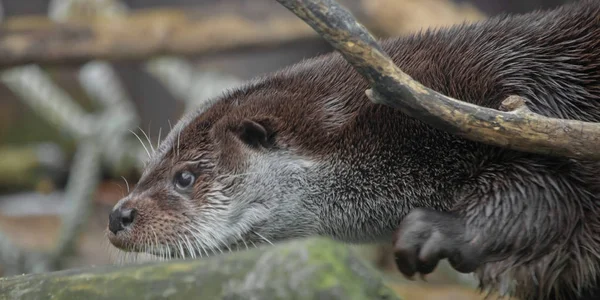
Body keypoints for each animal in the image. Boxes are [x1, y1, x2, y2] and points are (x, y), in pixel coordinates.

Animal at [106, 1, 600, 298]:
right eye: (149, 165)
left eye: (185, 176)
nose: (118, 215)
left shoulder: (539, 110)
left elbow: (548, 196)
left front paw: (439, 229)